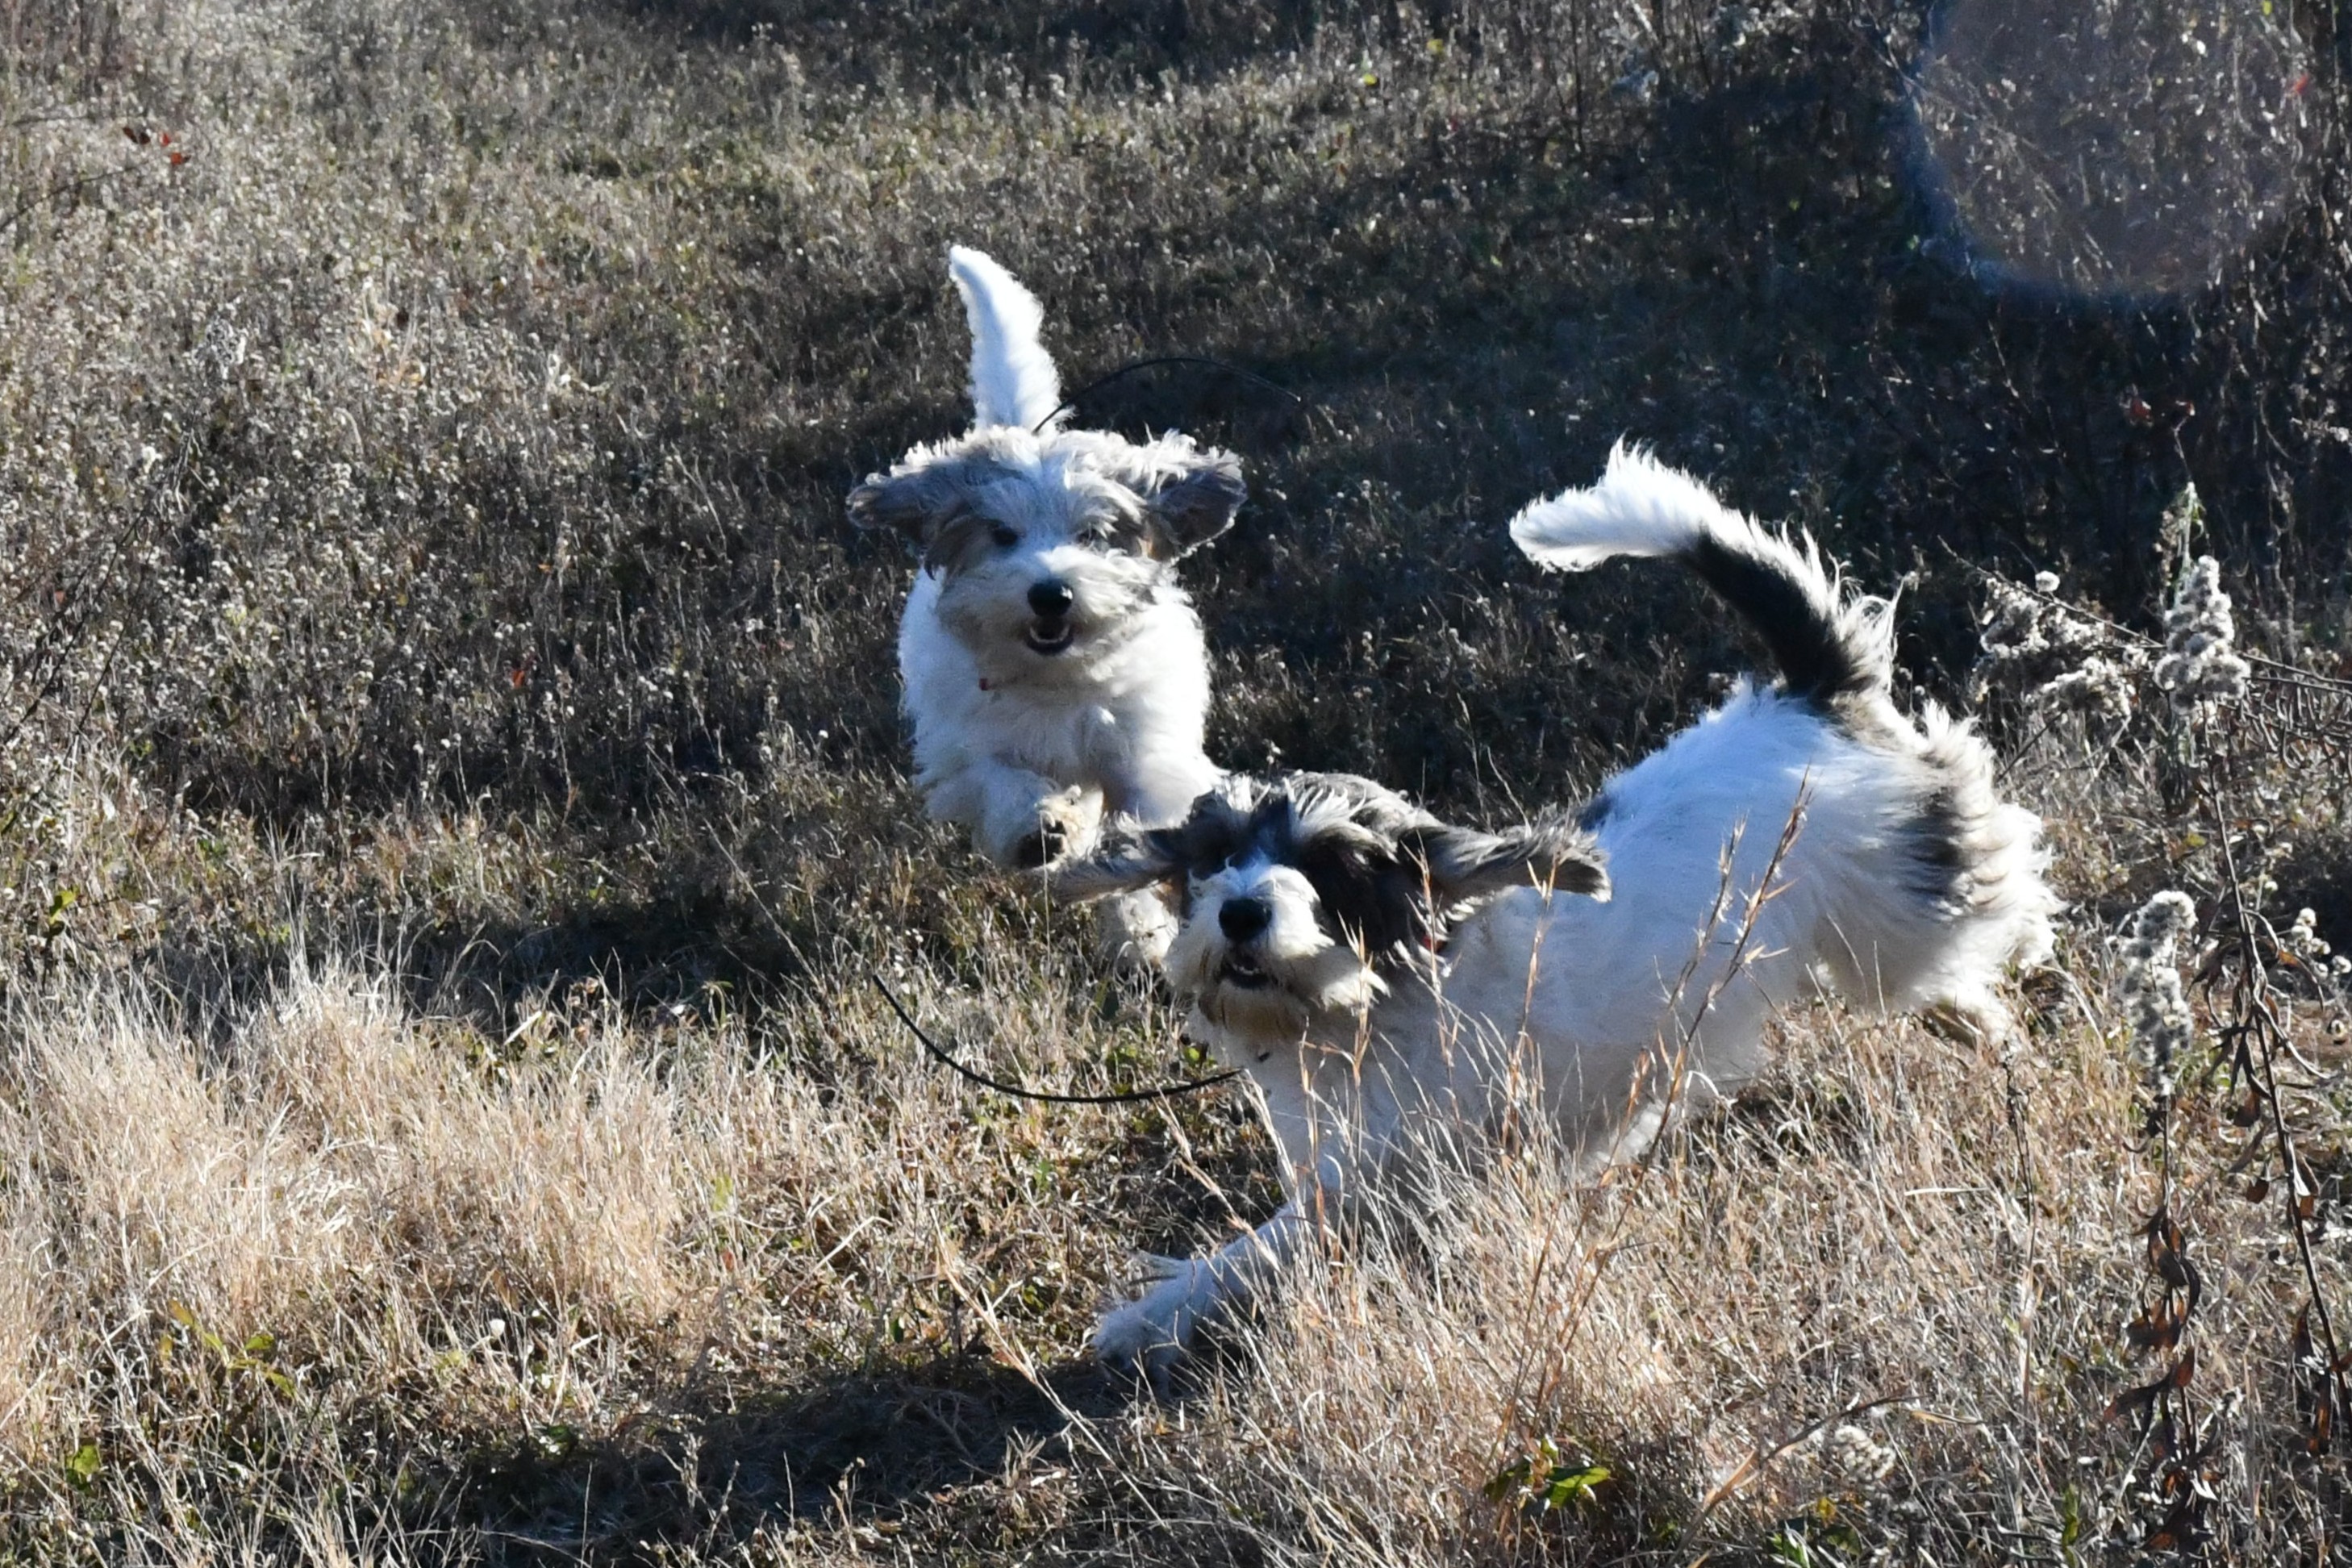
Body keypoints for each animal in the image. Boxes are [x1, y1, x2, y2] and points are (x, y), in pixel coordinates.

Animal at [849, 248, 1245, 951]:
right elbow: (1001, 781)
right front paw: (1040, 827)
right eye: (1002, 535)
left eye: (1092, 534)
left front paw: (1136, 915)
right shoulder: (968, 747)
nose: (1051, 593)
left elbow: (1141, 827)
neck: (1054, 677)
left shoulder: (1141, 752)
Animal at [1049, 442, 2055, 1373]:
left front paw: (1152, 1316)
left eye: (1332, 871)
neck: (1374, 1009)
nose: (1242, 915)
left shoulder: (1400, 1178)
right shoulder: (1356, 1174)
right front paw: (1152, 1314)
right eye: (1219, 860)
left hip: (1899, 923)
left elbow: (1255, 1253)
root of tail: (1808, 696)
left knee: (1988, 903)